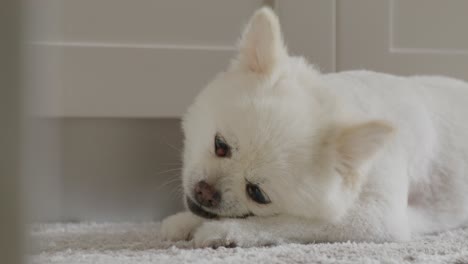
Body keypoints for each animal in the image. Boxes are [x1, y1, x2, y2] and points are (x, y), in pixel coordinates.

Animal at [161, 7, 468, 249]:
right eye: (220, 145)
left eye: (257, 193)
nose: (205, 192)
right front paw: (183, 221)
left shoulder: (376, 217)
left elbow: (289, 222)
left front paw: (222, 231)